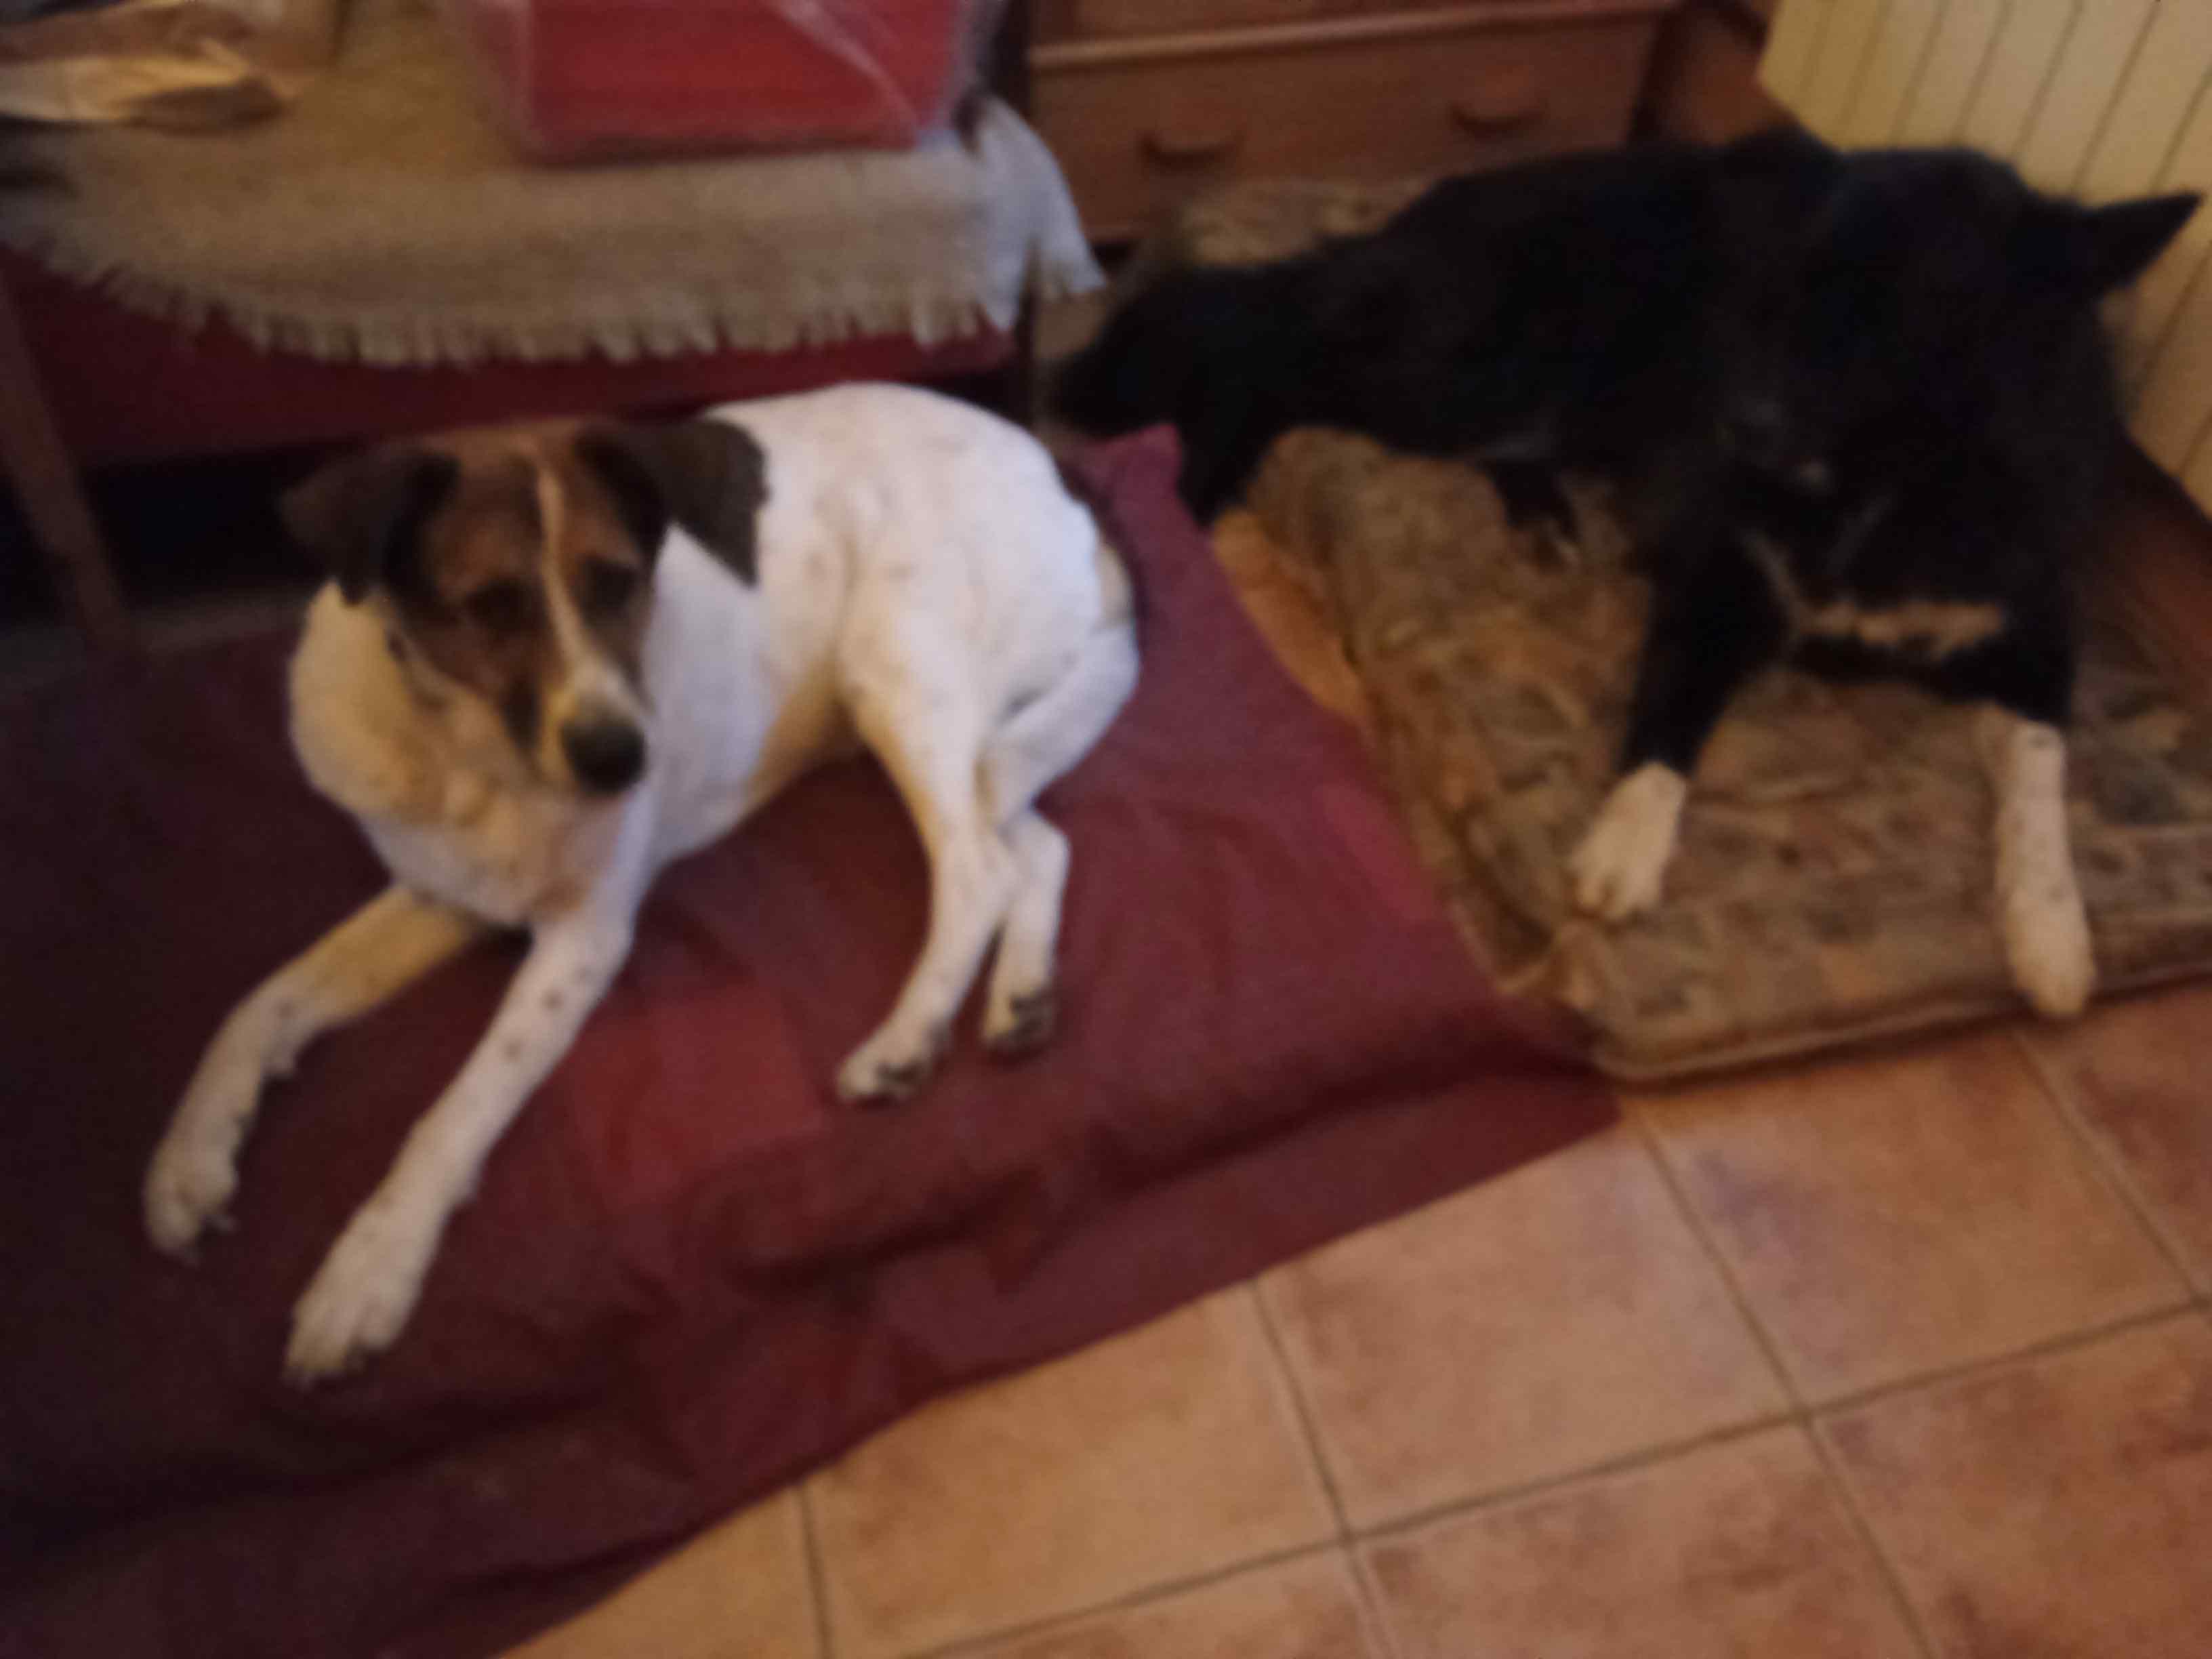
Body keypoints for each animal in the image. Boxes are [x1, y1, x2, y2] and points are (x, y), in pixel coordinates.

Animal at [143, 383, 1139, 1383]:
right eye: (491, 606)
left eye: (617, 582)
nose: (624, 760)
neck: (476, 760)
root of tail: (1060, 483)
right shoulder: (443, 894)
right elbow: (261, 1002)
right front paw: (191, 1157)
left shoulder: (582, 940)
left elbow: (455, 1109)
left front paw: (372, 1265)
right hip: (969, 735)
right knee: (1031, 843)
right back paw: (1021, 996)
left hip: (895, 666)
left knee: (977, 866)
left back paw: (907, 1039)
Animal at [1054, 130, 2197, 1017]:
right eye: (1792, 287)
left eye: (1896, 308)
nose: (1737, 426)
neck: (1888, 479)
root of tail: (1425, 208)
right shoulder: (1714, 587)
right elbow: (1664, 730)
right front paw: (1626, 851)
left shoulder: (2035, 634)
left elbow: (2043, 777)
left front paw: (2052, 930)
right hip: (1472, 364)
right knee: (1268, 352)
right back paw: (1192, 494)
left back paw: (1535, 510)